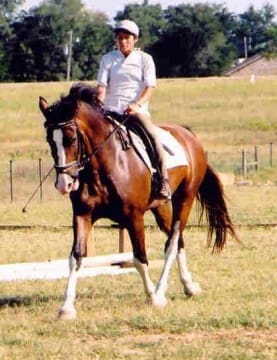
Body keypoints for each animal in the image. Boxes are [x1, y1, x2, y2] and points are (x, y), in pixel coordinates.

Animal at [38, 83, 237, 320]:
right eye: (50, 140)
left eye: (71, 139)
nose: (64, 184)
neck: (103, 167)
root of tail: (187, 134)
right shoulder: (82, 215)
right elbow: (76, 257)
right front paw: (67, 307)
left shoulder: (134, 217)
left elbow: (139, 258)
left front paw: (153, 298)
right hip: (161, 207)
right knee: (178, 240)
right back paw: (189, 286)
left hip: (185, 199)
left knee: (172, 242)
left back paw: (161, 290)